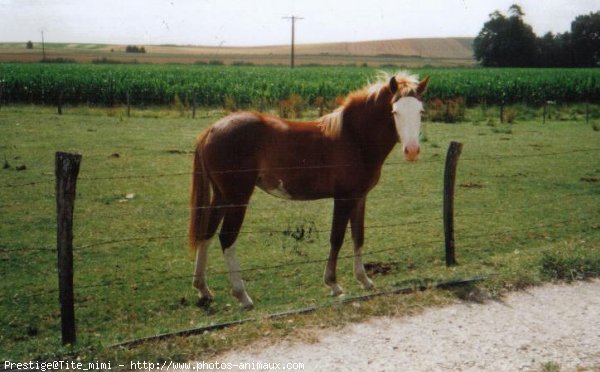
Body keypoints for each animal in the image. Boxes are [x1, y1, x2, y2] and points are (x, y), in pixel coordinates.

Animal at [190, 70, 428, 308]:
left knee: (207, 233)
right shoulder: (343, 198)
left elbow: (358, 236)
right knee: (226, 239)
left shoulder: (359, 198)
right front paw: (333, 284)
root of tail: (211, 130)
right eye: (395, 111)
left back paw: (203, 290)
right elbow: (337, 237)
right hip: (237, 197)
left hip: (221, 196)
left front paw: (364, 280)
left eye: (420, 111)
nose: (412, 151)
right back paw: (242, 296)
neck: (355, 137)